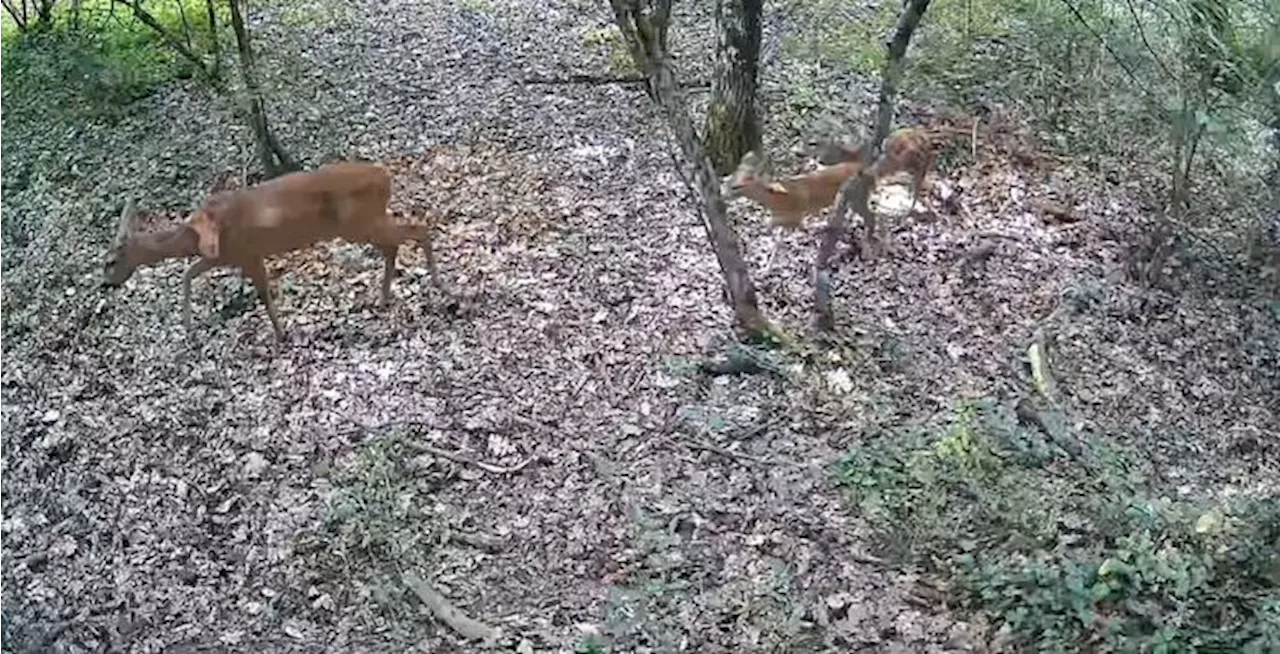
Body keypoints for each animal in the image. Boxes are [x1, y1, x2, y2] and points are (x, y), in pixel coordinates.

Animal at [98, 161, 445, 342]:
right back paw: (384, 298)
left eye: (110, 261)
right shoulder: (227, 256)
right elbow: (190, 273)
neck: (196, 233)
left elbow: (263, 294)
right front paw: (188, 325)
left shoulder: (247, 253)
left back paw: (438, 284)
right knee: (396, 242)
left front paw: (280, 336)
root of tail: (385, 176)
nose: (106, 284)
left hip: (359, 222)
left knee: (415, 229)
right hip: (364, 222)